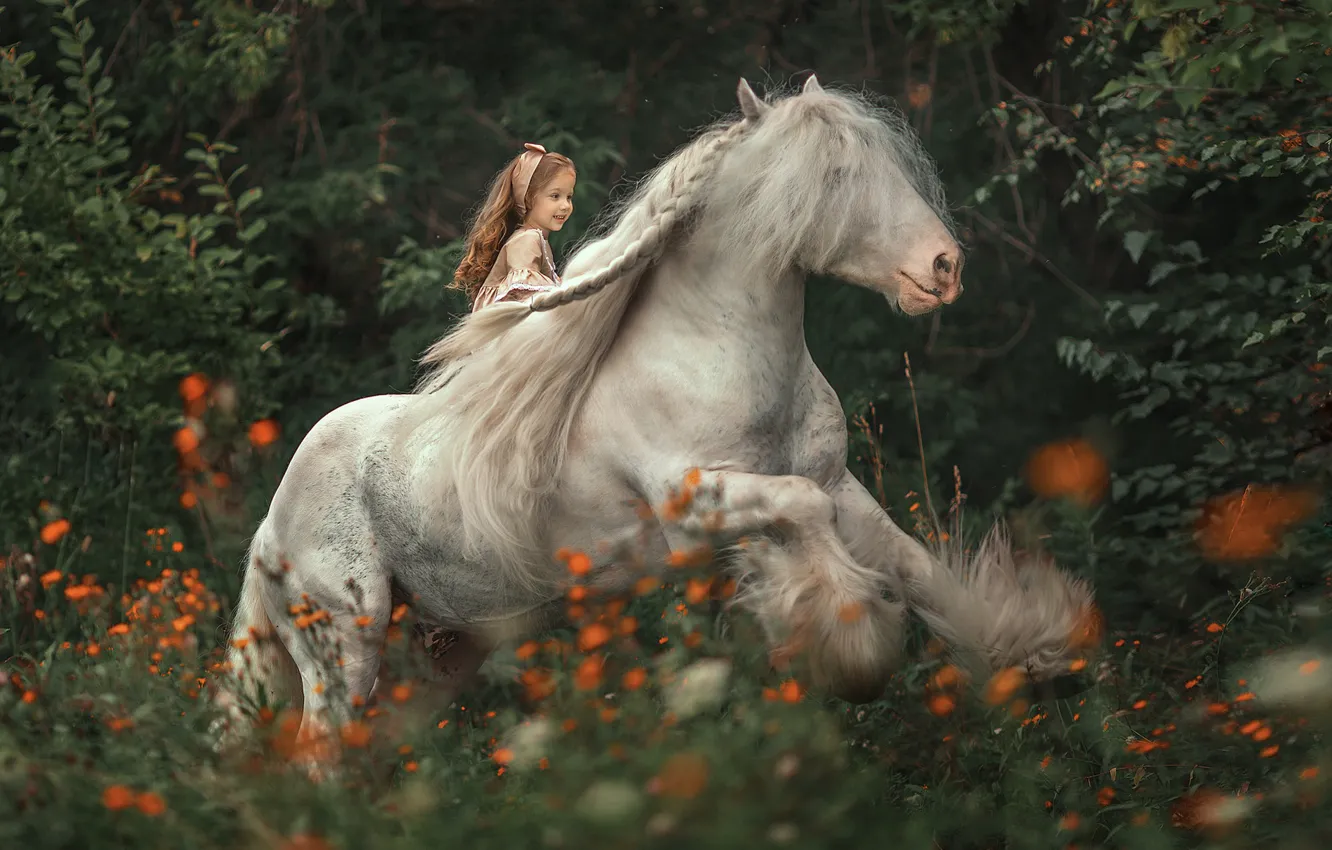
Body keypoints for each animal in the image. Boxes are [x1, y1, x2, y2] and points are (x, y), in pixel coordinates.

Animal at [212, 75, 1098, 762]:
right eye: (836, 175)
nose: (943, 267)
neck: (717, 355)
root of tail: (268, 527)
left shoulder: (839, 486)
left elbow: (917, 567)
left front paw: (1035, 652)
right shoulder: (705, 505)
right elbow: (808, 524)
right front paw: (851, 650)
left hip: (440, 652)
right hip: (344, 648)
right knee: (318, 764)